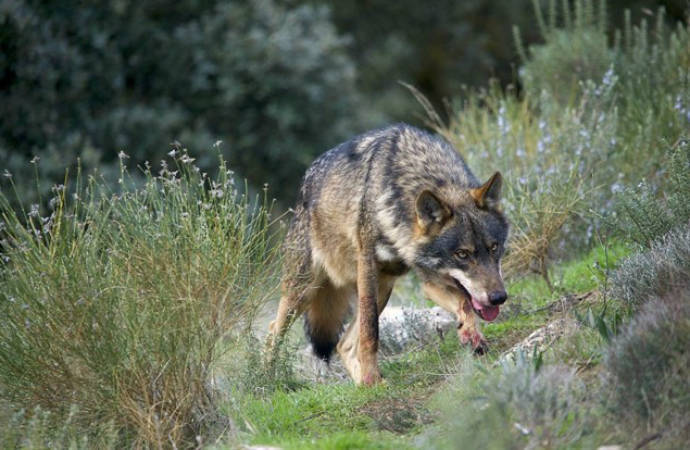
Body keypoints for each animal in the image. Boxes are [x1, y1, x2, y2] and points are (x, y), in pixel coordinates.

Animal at [266, 123, 509, 385]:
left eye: (494, 247)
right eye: (462, 254)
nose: (499, 298)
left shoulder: (430, 279)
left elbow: (464, 303)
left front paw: (471, 335)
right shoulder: (368, 266)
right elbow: (370, 331)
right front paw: (371, 375)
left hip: (383, 288)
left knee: (343, 345)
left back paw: (364, 385)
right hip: (304, 292)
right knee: (273, 332)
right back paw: (267, 380)